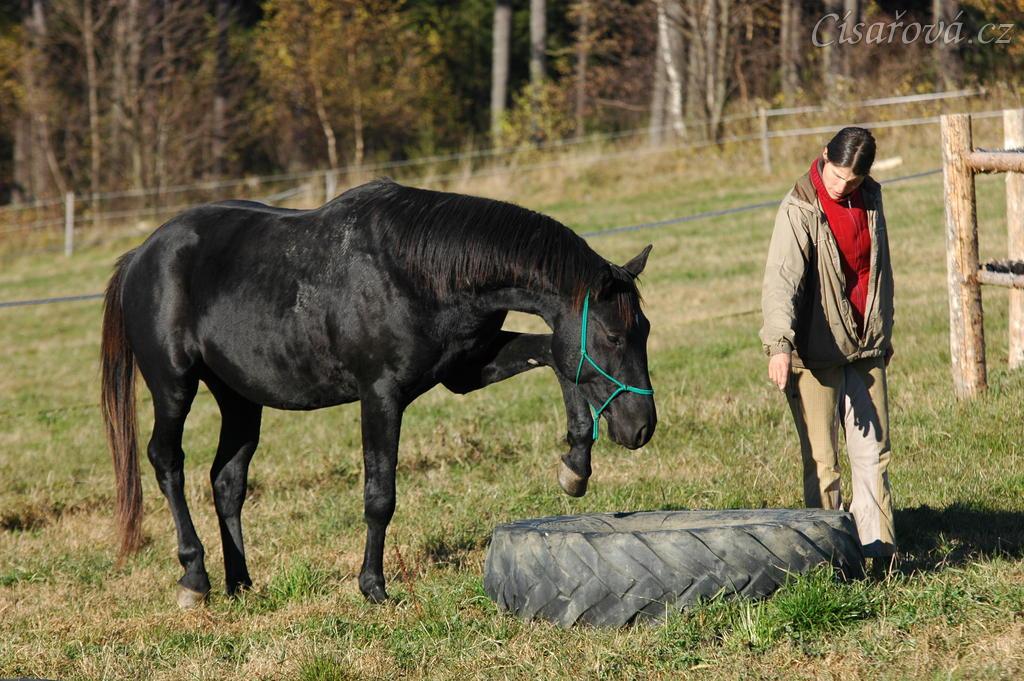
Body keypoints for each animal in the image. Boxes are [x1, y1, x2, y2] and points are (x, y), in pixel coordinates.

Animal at [100, 178, 656, 607]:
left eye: (644, 330)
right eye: (612, 337)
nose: (641, 427)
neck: (419, 269)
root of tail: (140, 256)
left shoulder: (467, 370)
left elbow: (558, 358)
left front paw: (576, 465)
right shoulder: (380, 395)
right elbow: (379, 496)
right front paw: (373, 587)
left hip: (239, 397)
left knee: (227, 480)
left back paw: (240, 583)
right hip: (174, 385)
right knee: (166, 461)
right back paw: (195, 579)